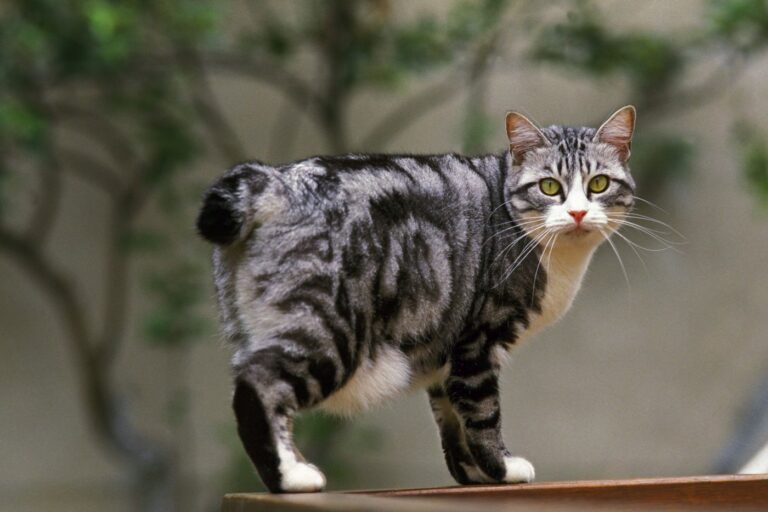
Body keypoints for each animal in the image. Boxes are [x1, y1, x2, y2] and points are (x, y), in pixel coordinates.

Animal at [196, 106, 636, 494]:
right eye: (549, 187)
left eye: (598, 184)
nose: (578, 214)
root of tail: (275, 180)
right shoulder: (479, 340)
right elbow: (481, 411)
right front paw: (501, 467)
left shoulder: (447, 349)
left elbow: (453, 418)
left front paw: (474, 474)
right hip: (329, 327)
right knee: (259, 385)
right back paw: (291, 477)